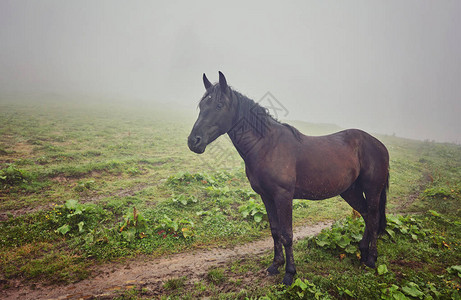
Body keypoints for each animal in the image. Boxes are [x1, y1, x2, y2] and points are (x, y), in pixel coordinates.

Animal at [187, 71, 388, 284]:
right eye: (202, 105)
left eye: (219, 105)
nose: (194, 141)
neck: (267, 146)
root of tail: (379, 144)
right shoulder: (266, 197)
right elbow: (275, 231)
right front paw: (275, 265)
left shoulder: (283, 196)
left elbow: (287, 234)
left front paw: (290, 273)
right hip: (350, 191)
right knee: (366, 215)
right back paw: (363, 252)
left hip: (372, 190)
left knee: (373, 218)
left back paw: (372, 259)